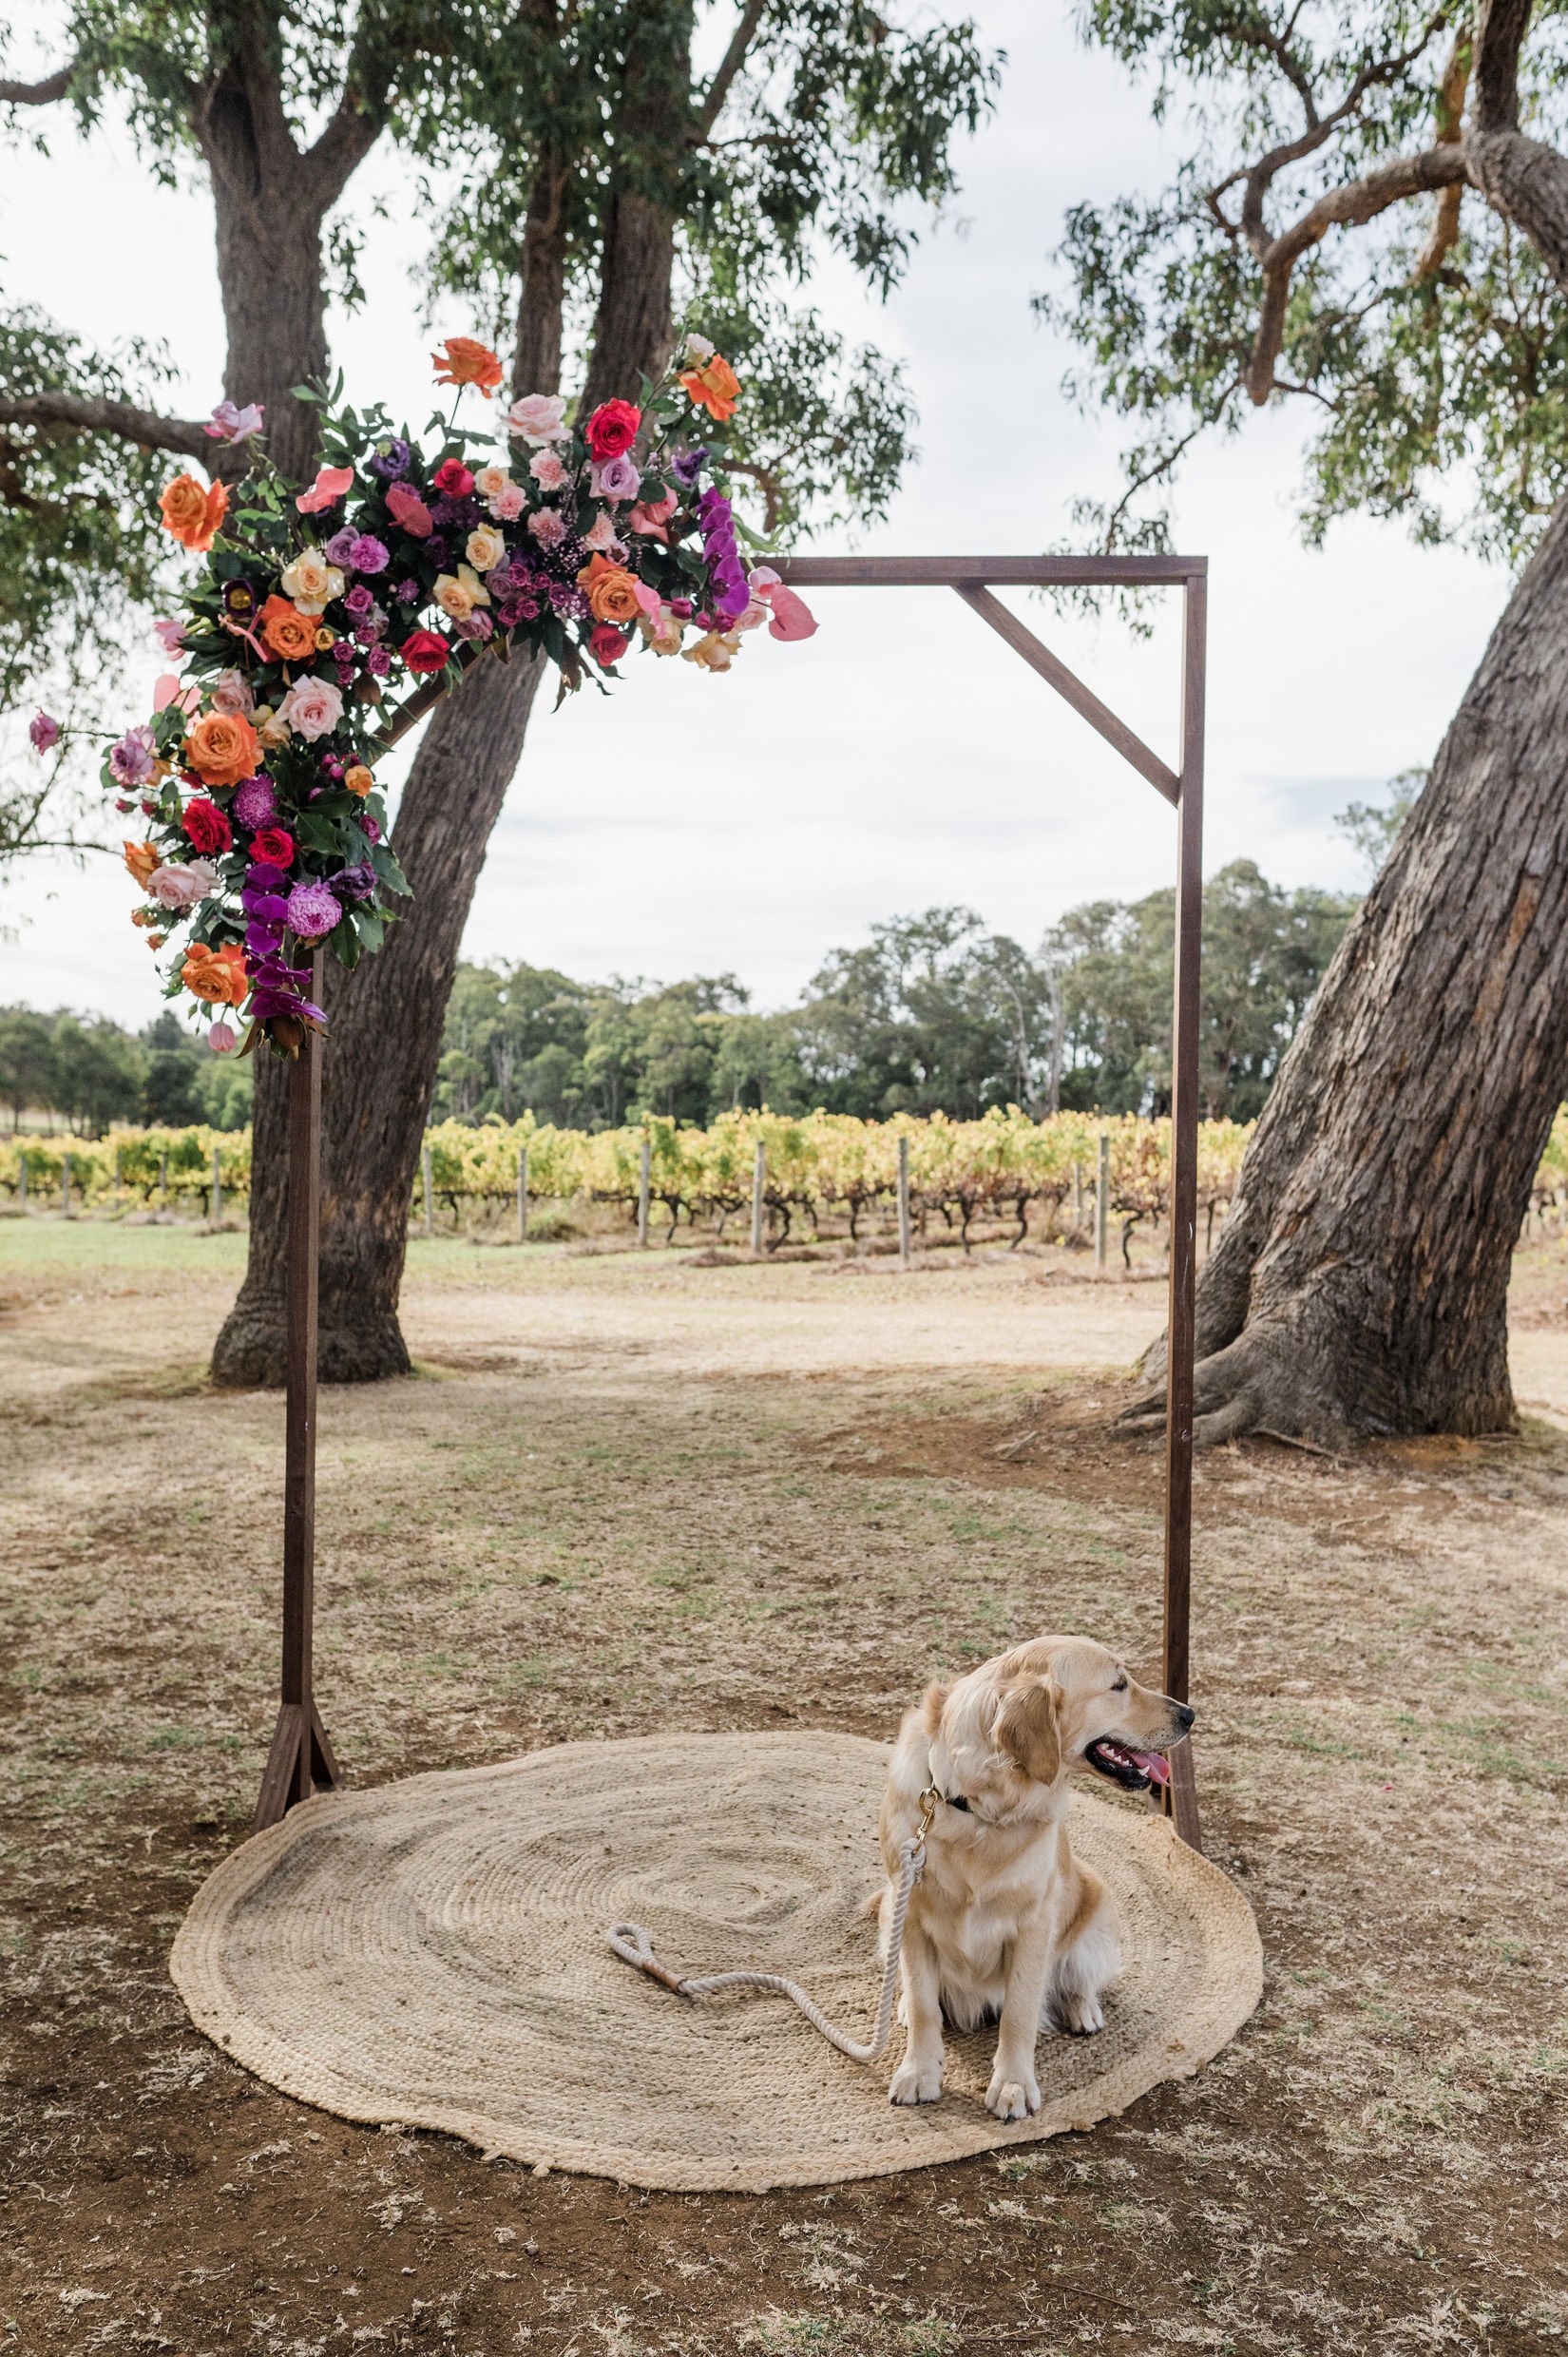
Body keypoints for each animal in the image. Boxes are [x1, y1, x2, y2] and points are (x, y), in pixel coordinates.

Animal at [877, 1635, 1194, 2120]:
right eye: (1118, 1685)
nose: (1190, 1715)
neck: (979, 1809)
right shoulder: (907, 1912)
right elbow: (925, 2003)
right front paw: (920, 2072)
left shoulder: (1033, 1924)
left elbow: (1020, 2013)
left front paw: (1013, 2085)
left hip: (1093, 1915)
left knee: (1080, 1981)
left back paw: (1084, 2011)